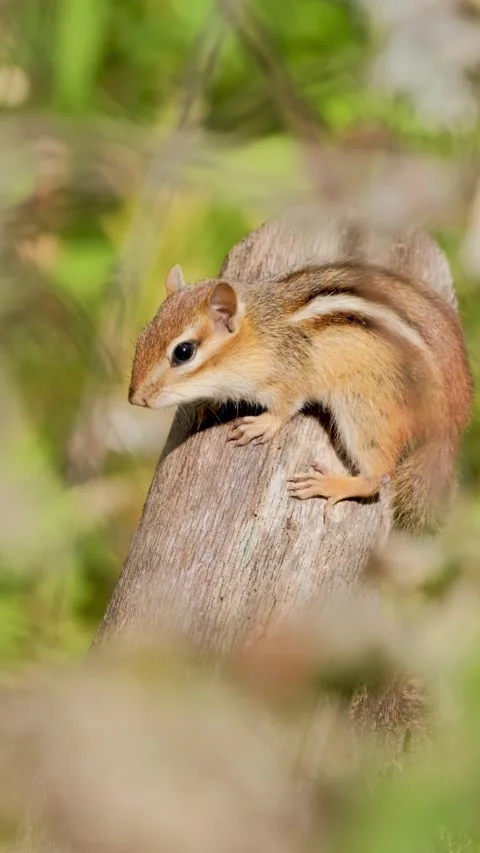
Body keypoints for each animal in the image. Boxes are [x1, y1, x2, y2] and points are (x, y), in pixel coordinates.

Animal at [128, 210, 472, 532]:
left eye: (183, 352)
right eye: (142, 336)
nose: (135, 399)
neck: (260, 331)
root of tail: (451, 420)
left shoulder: (291, 375)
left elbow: (286, 407)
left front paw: (261, 424)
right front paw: (205, 404)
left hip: (368, 410)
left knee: (380, 477)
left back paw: (331, 485)